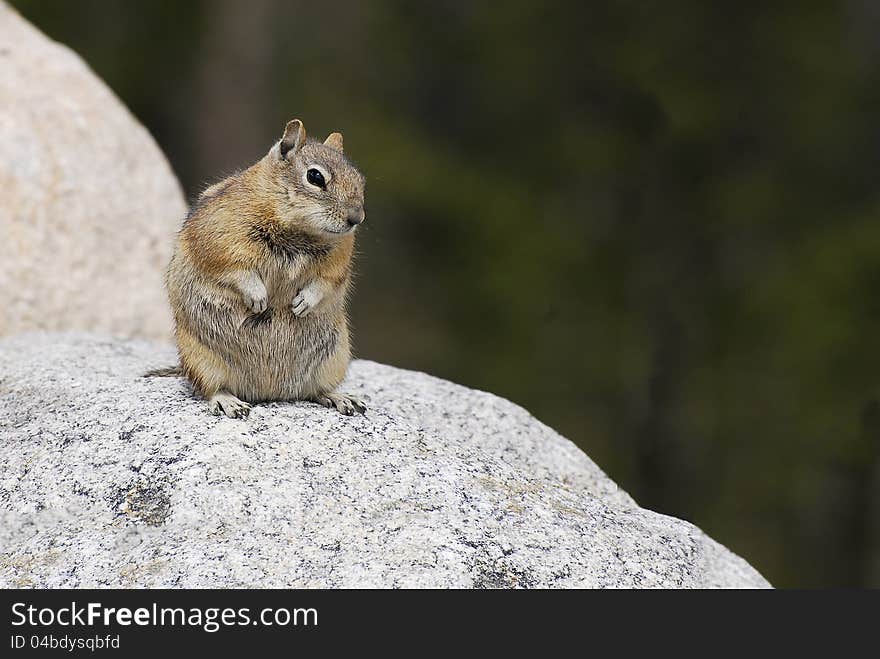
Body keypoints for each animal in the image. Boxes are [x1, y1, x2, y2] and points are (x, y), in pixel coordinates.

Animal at [151, 118, 368, 418]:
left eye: (359, 179)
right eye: (315, 177)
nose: (356, 218)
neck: (297, 230)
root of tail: (268, 393)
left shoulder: (337, 261)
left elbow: (326, 282)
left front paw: (304, 302)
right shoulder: (221, 242)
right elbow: (235, 270)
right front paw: (258, 297)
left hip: (335, 356)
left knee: (317, 390)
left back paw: (341, 398)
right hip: (201, 359)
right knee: (212, 388)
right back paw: (229, 402)